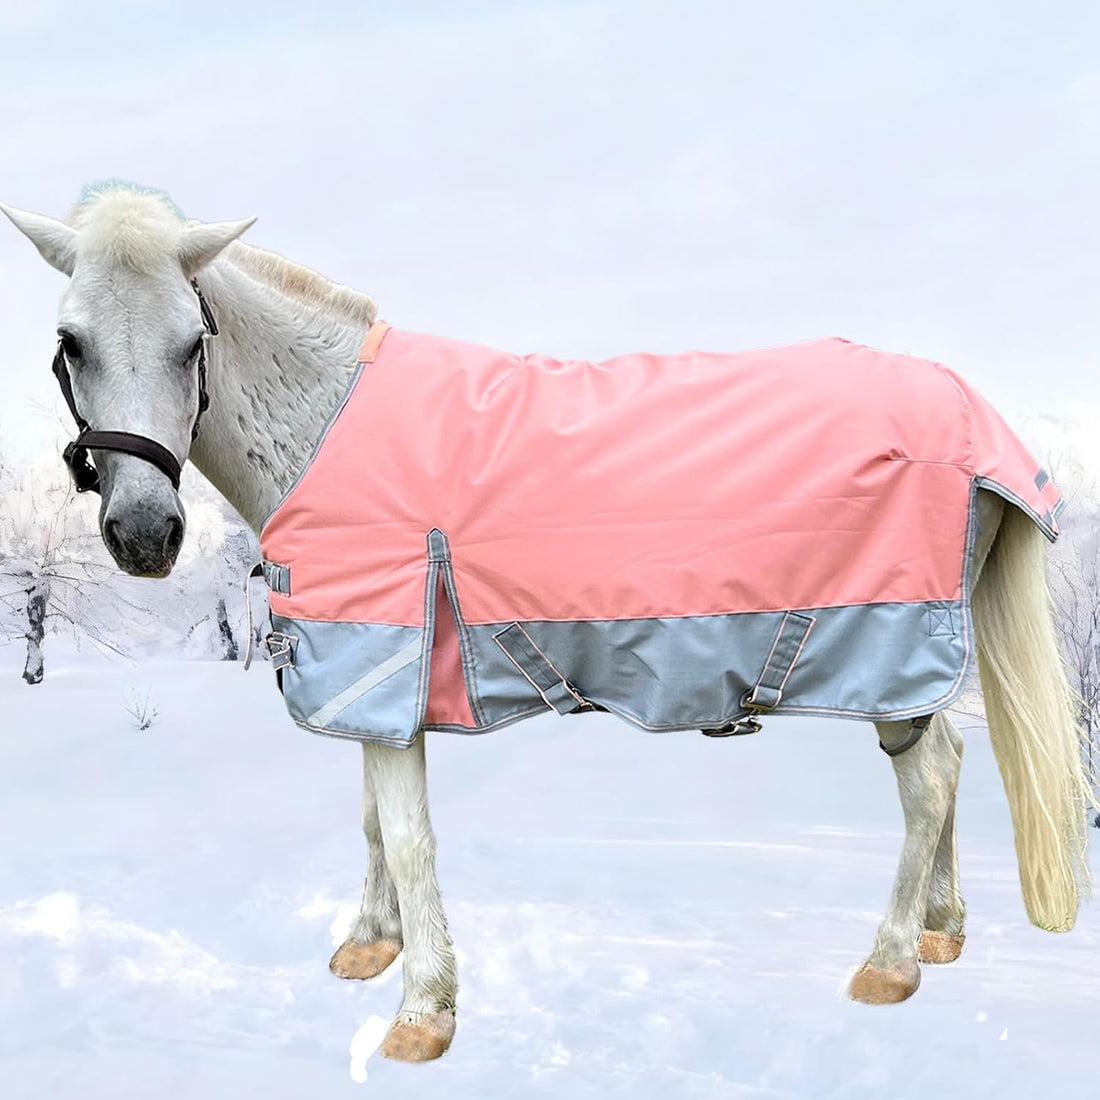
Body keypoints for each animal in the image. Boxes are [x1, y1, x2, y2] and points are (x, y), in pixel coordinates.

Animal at [2, 182, 1093, 1063]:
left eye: (192, 339)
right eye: (71, 341)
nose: (146, 533)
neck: (330, 423)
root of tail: (977, 420)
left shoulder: (387, 660)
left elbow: (407, 834)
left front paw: (423, 1012)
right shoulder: (365, 673)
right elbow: (370, 818)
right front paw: (368, 945)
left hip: (884, 648)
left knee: (930, 781)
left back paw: (891, 959)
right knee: (948, 764)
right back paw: (943, 929)